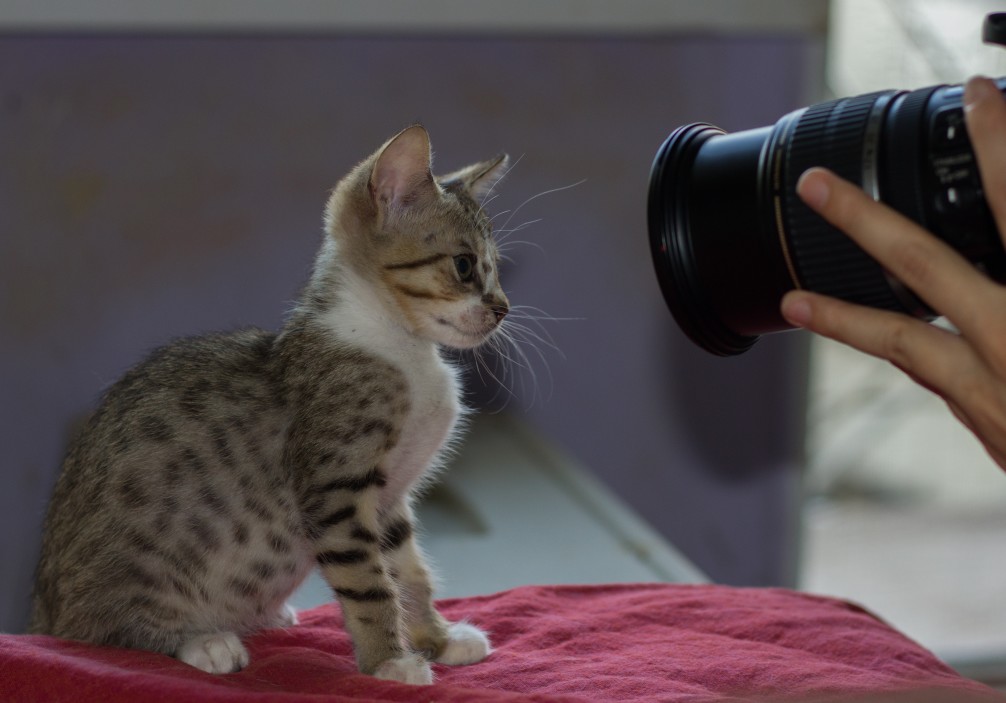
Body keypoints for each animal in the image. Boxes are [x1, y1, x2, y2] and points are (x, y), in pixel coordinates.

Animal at [29, 123, 511, 683]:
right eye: (464, 265)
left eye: (496, 268)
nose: (503, 309)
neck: (399, 346)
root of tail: (44, 608)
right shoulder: (335, 490)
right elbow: (370, 584)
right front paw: (389, 662)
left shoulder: (389, 499)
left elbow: (408, 573)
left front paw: (437, 639)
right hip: (121, 586)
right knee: (98, 632)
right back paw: (204, 643)